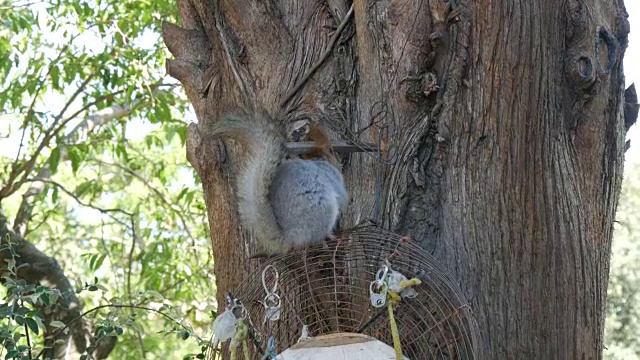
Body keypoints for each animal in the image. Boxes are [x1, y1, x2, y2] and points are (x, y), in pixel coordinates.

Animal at [206, 111, 348, 258]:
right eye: (331, 150)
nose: (339, 163)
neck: (316, 159)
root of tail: (290, 238)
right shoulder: (335, 179)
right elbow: (343, 197)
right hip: (324, 209)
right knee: (318, 237)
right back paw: (328, 237)